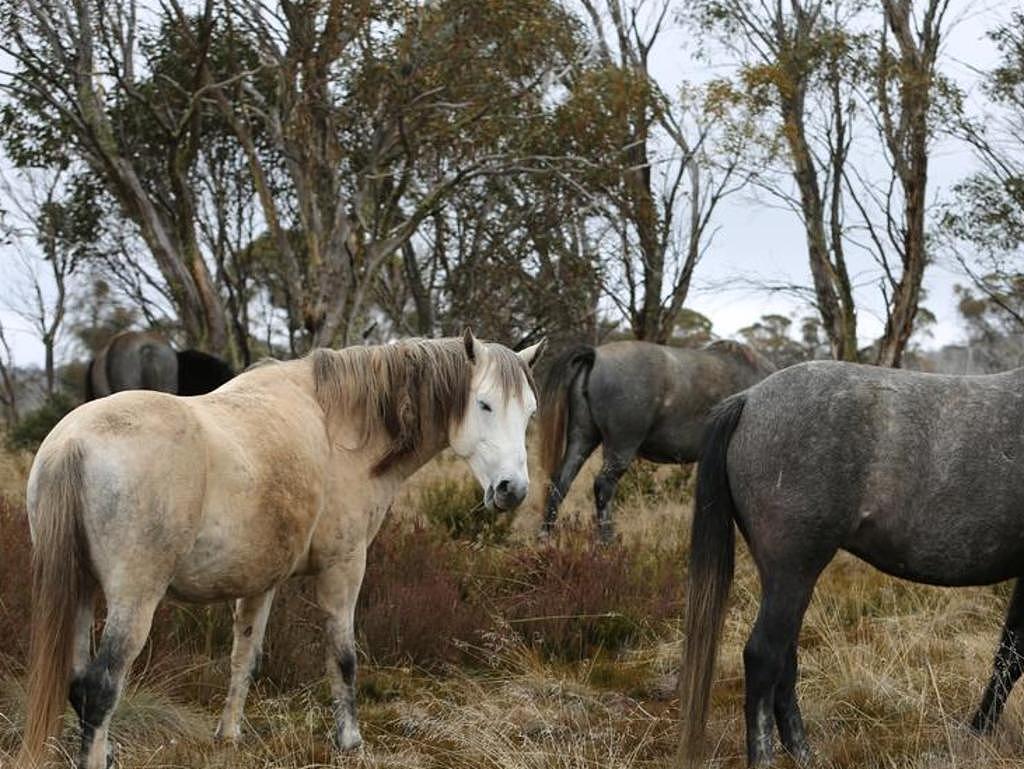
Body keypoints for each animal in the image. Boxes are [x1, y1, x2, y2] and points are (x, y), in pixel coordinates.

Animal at [538, 339, 775, 541]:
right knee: (603, 487)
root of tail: (596, 355)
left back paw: (545, 537)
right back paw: (607, 542)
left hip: (581, 441)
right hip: (620, 449)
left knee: (560, 483)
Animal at [679, 360, 1024, 767]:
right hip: (793, 574)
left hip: (787, 581)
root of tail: (748, 399)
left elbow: (1008, 658)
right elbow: (1013, 660)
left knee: (785, 661)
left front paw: (976, 733)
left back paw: (803, 753)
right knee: (764, 657)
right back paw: (765, 757)